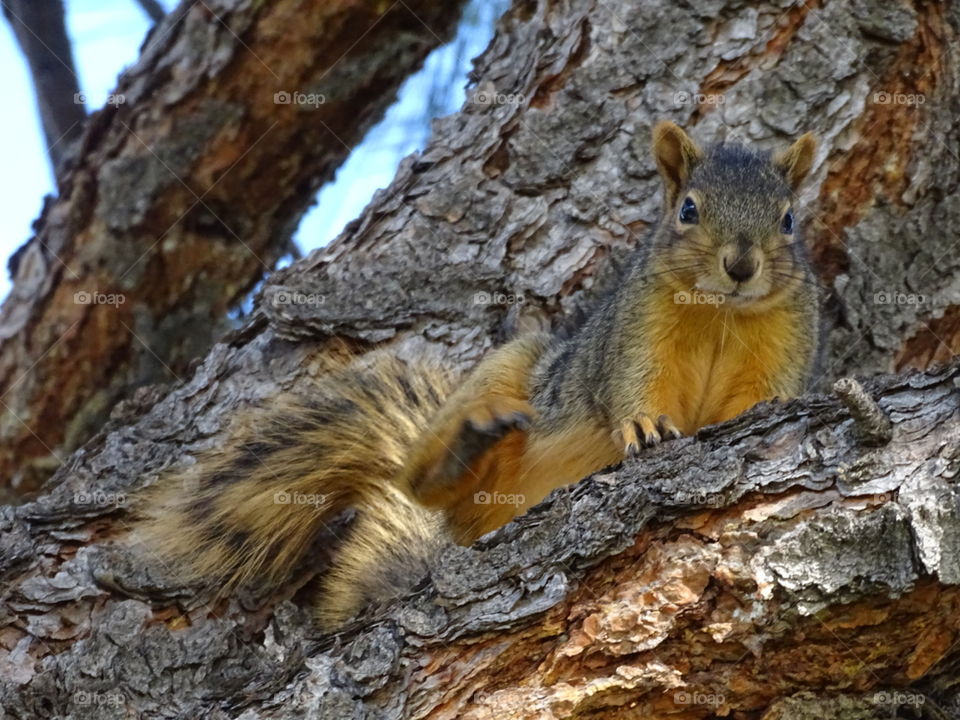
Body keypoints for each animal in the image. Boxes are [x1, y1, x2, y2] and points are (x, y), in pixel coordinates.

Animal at [137, 122, 820, 629]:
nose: (740, 265)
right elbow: (631, 385)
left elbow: (765, 395)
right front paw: (646, 425)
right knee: (420, 481)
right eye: (688, 209)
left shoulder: (785, 340)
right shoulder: (634, 331)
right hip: (508, 370)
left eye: (789, 220)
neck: (719, 315)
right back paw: (468, 442)